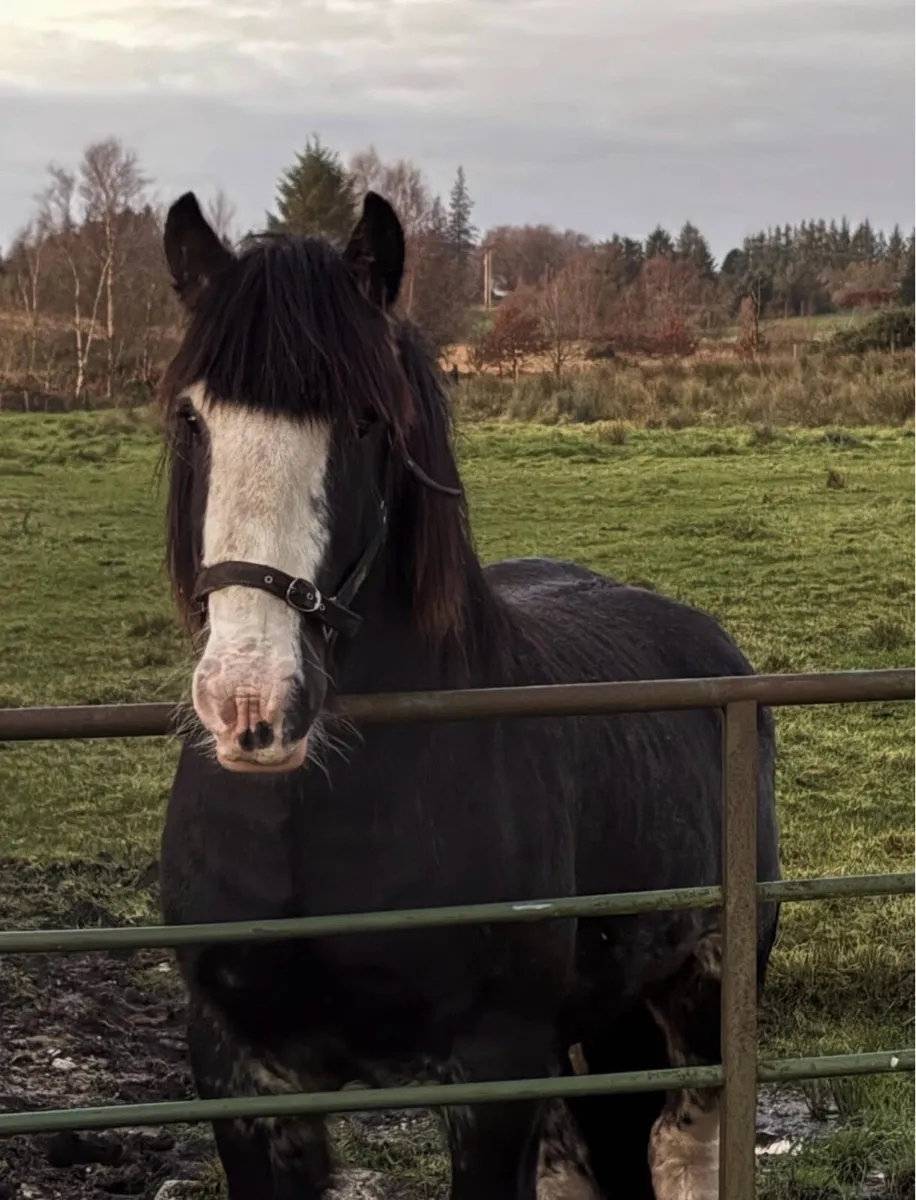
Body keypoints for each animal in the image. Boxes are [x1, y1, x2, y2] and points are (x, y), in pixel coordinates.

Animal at [157, 189, 781, 1200]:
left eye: (367, 419)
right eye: (191, 420)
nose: (251, 704)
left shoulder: (494, 1078)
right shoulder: (242, 1081)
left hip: (706, 993)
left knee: (683, 1148)